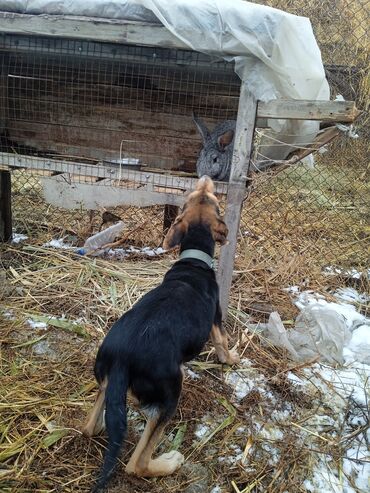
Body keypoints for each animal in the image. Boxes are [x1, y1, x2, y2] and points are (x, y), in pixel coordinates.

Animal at [83, 175, 240, 490]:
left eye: (194, 197)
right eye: (214, 201)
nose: (206, 179)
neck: (194, 260)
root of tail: (122, 360)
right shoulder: (216, 320)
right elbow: (223, 343)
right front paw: (231, 359)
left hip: (105, 380)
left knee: (90, 426)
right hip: (171, 390)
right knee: (137, 464)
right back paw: (168, 462)